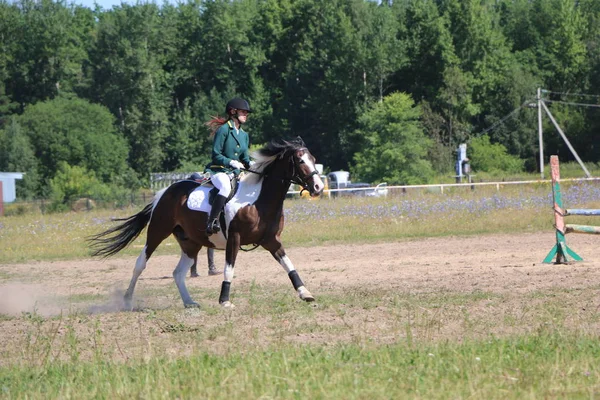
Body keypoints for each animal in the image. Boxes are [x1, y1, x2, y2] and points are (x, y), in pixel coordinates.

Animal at [87, 138, 324, 310]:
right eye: (301, 161)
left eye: (313, 158)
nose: (318, 187)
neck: (258, 200)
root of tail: (165, 192)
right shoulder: (234, 239)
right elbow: (229, 269)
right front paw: (225, 300)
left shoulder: (271, 240)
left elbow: (289, 265)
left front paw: (305, 293)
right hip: (157, 231)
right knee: (140, 264)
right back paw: (127, 300)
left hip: (191, 243)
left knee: (178, 273)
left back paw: (189, 302)